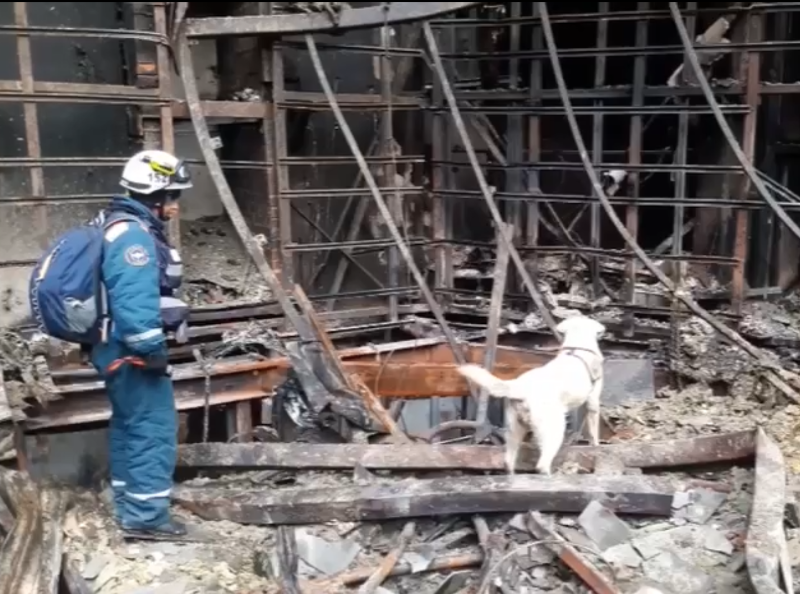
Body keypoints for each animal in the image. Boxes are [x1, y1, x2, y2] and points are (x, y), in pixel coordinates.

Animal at [456, 316, 608, 474]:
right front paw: (595, 446)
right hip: (553, 426)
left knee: (508, 462)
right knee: (542, 464)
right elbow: (593, 430)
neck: (576, 346)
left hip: (514, 429)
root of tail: (520, 387)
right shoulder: (593, 400)